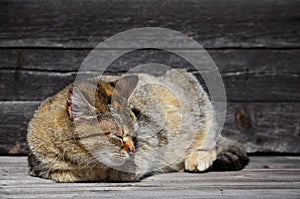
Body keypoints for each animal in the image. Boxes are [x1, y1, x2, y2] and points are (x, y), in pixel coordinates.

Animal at [27, 69, 248, 182]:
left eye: (134, 134)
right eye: (117, 135)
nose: (132, 149)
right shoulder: (44, 167)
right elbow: (66, 173)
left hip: (194, 91)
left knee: (211, 138)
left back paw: (198, 157)